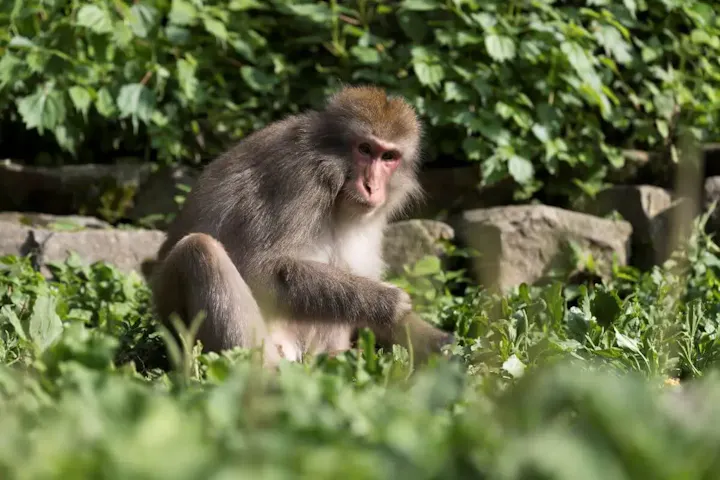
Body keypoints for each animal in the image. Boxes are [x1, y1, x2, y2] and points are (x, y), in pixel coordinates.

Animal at [150, 85, 454, 367]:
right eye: (365, 149)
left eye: (389, 157)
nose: (371, 186)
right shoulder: (301, 178)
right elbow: (260, 270)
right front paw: (386, 301)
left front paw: (440, 343)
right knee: (199, 248)